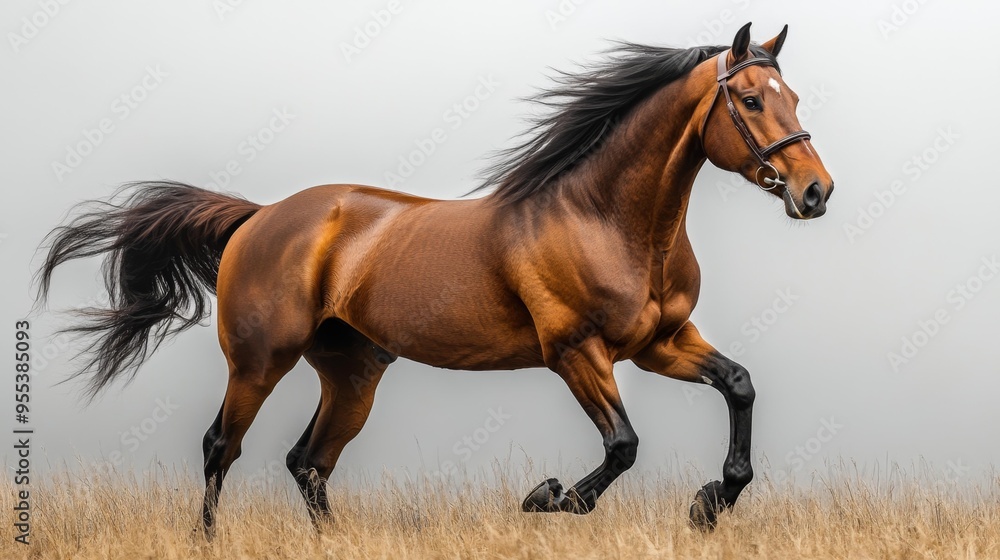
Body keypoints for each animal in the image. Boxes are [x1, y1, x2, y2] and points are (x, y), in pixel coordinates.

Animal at [36, 22, 833, 535]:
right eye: (753, 100)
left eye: (794, 97)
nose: (816, 192)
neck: (605, 218)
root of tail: (259, 218)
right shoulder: (575, 351)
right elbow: (623, 447)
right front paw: (545, 497)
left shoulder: (661, 343)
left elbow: (739, 386)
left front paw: (710, 503)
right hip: (260, 361)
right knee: (220, 448)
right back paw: (207, 539)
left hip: (353, 372)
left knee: (307, 462)